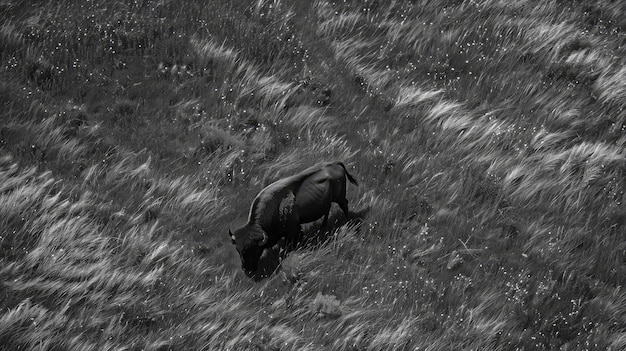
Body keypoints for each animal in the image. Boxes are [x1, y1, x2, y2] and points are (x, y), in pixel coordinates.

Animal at [228, 161, 356, 276]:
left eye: (254, 249)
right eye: (238, 250)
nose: (247, 270)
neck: (273, 208)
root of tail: (334, 163)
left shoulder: (293, 230)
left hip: (339, 197)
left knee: (344, 204)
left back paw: (347, 220)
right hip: (327, 202)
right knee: (328, 210)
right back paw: (324, 226)